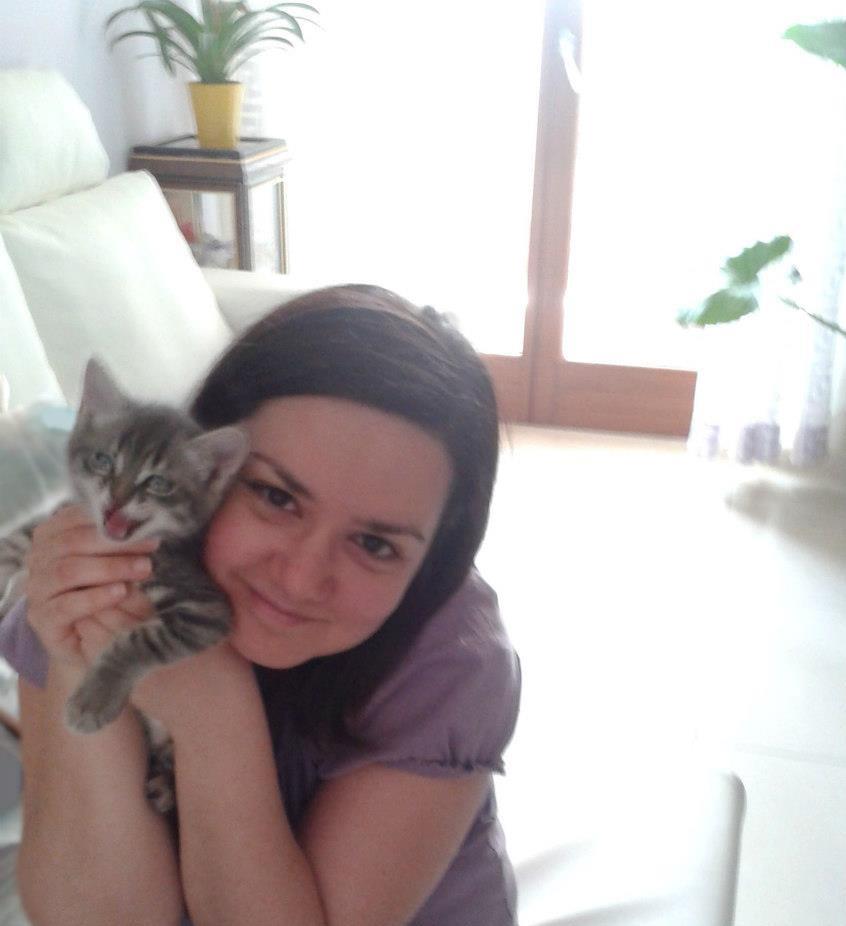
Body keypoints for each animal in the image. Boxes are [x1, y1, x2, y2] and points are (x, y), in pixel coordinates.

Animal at [0, 358, 248, 812]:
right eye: (104, 461)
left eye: (158, 483)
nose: (114, 500)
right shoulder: (61, 519)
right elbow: (22, 536)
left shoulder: (206, 609)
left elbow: (138, 642)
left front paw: (94, 698)